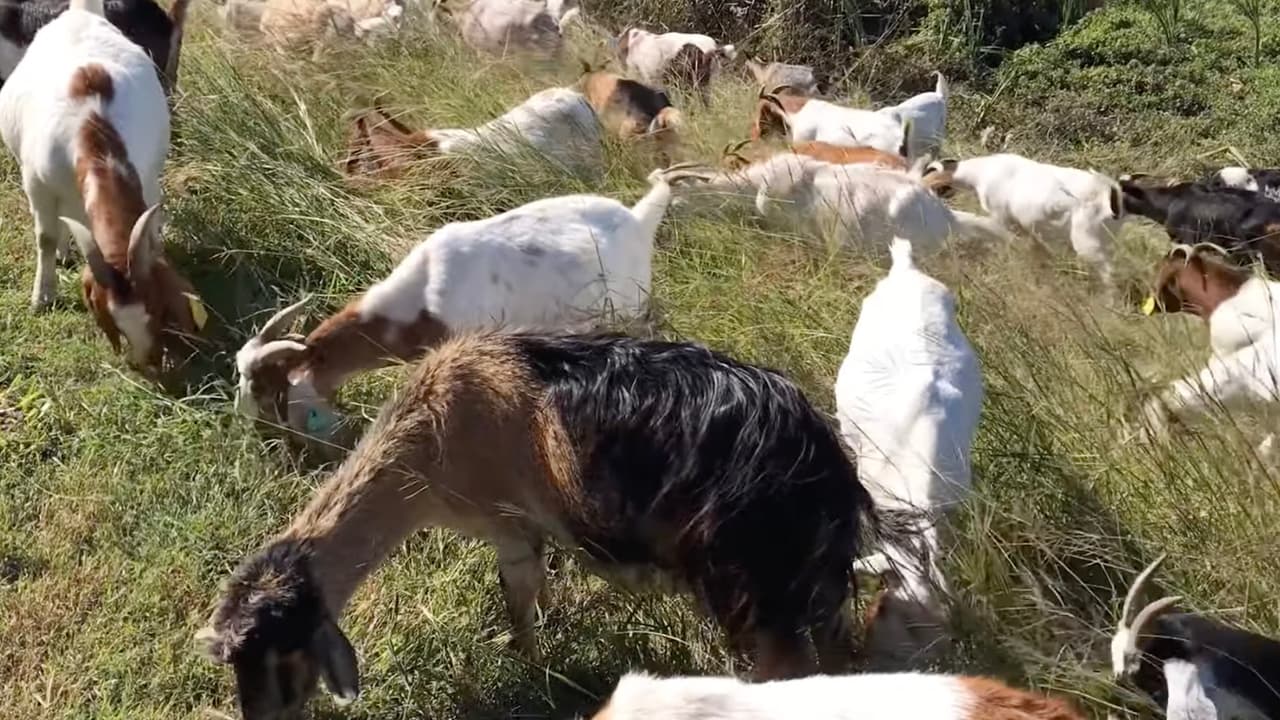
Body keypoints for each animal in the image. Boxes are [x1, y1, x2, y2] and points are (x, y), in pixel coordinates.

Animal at [200, 332, 875, 718]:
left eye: (280, 655)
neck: (430, 437)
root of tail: (823, 463)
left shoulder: (509, 523)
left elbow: (518, 597)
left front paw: (528, 664)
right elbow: (539, 590)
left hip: (751, 581)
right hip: (810, 583)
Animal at [925, 154, 1125, 289]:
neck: (981, 172)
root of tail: (1113, 193)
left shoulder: (1002, 219)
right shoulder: (1027, 229)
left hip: (1088, 241)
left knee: (1109, 273)